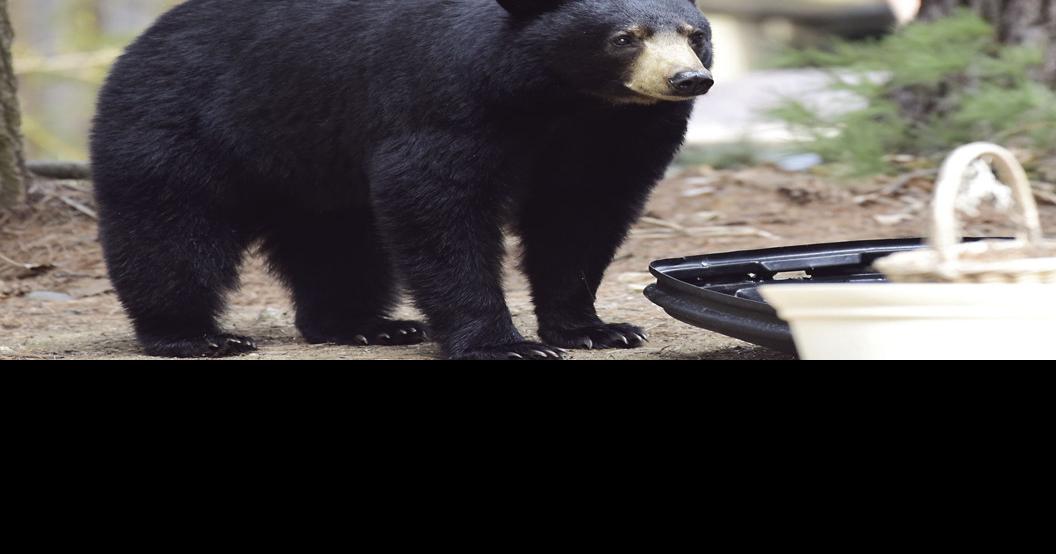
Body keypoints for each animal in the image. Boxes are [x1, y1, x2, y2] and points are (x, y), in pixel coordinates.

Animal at [90, 0, 714, 360]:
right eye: (626, 37)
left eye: (694, 35)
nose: (689, 80)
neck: (564, 98)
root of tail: (138, 45)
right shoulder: (447, 97)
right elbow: (436, 201)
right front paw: (504, 346)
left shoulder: (617, 133)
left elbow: (580, 215)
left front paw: (597, 329)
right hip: (183, 124)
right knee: (172, 231)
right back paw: (196, 336)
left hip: (315, 168)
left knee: (339, 246)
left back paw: (367, 325)